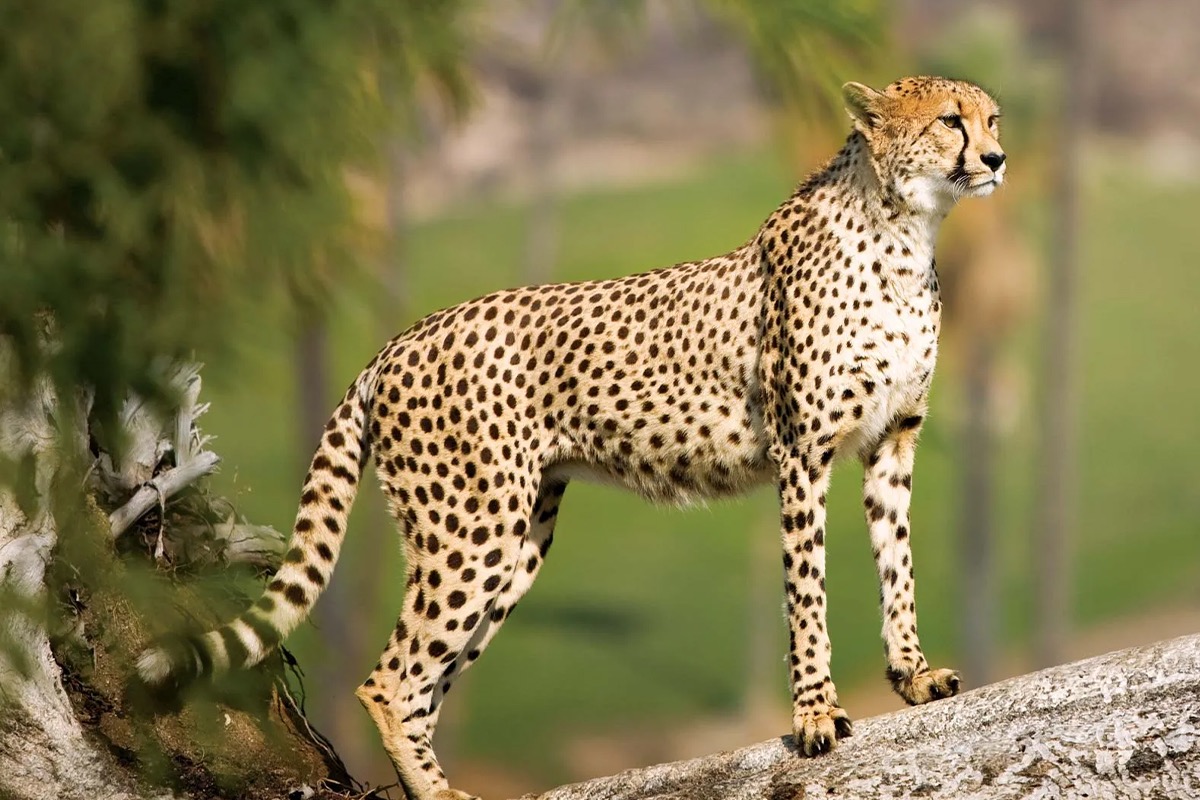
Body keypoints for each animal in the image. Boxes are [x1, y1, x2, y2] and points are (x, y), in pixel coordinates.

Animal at [138, 76, 1005, 800]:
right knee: (389, 680)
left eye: (991, 117)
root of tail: (400, 339)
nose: (997, 157)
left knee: (425, 682)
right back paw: (437, 791)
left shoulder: (891, 444)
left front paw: (913, 676)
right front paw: (817, 715)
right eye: (949, 121)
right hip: (471, 530)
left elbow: (897, 566)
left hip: (516, 542)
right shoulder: (803, 454)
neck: (904, 230)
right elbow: (808, 591)